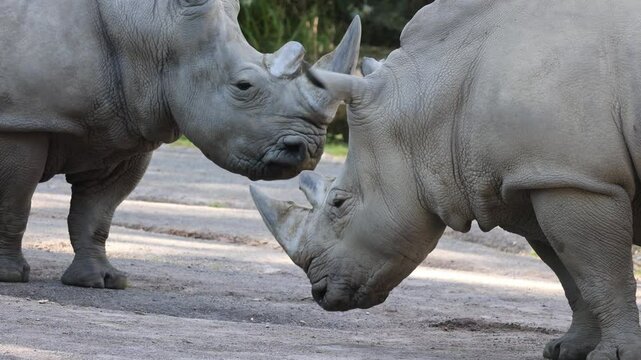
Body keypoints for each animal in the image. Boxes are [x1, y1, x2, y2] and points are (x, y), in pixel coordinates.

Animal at [0, 0, 360, 286]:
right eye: (243, 86)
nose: (308, 150)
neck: (155, 29)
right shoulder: (21, 124)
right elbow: (14, 202)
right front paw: (9, 276)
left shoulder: (124, 127)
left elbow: (97, 213)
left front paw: (101, 280)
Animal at [250, 0, 640, 360]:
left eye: (339, 203)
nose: (319, 292)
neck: (435, 104)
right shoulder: (536, 176)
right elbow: (573, 277)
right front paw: (568, 350)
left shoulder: (576, 179)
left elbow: (603, 276)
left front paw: (615, 356)